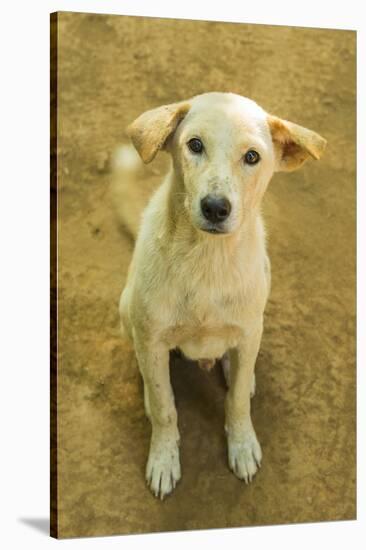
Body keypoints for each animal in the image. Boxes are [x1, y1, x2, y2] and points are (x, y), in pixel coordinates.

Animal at [116, 94, 326, 500]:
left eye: (252, 156)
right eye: (195, 145)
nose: (215, 207)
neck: (207, 260)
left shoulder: (247, 329)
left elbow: (238, 400)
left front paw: (242, 445)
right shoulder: (151, 337)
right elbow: (166, 408)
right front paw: (164, 459)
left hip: (253, 325)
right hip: (127, 310)